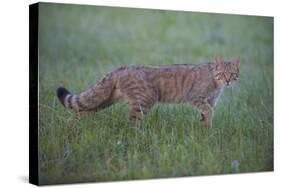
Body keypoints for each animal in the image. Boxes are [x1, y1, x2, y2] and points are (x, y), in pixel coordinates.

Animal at [56, 56, 238, 128]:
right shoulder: (195, 97)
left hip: (106, 99)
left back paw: (73, 125)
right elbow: (209, 110)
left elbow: (205, 114)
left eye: (233, 74)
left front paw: (205, 130)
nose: (228, 81)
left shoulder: (209, 101)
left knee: (82, 110)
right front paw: (207, 126)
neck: (216, 82)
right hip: (144, 100)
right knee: (132, 123)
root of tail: (121, 69)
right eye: (223, 74)